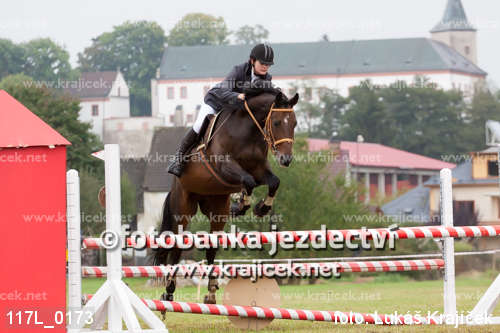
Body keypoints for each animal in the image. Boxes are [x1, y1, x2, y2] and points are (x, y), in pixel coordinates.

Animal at [152, 88, 298, 304]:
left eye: (294, 123)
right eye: (277, 122)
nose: (286, 159)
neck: (249, 131)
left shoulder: (259, 169)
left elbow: (272, 182)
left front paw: (260, 207)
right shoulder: (225, 167)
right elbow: (248, 181)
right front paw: (242, 204)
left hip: (217, 209)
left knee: (211, 247)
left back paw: (211, 292)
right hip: (183, 208)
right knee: (177, 246)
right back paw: (169, 291)